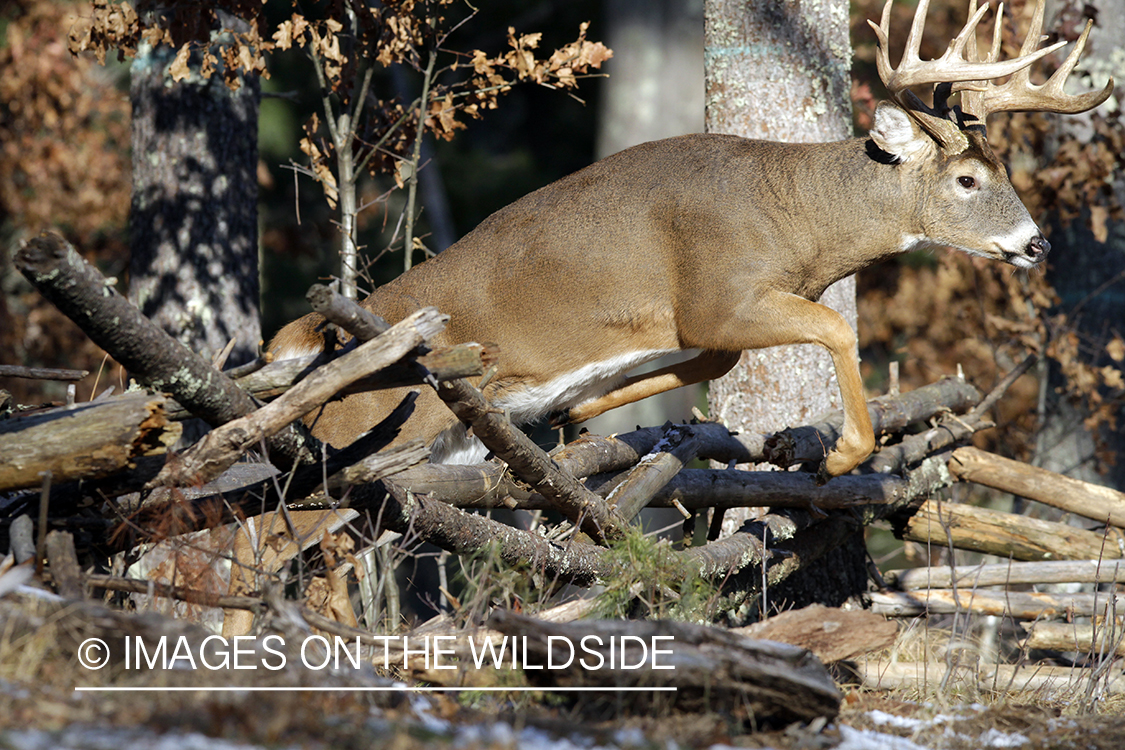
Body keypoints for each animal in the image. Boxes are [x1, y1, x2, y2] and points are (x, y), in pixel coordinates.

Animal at [226, 0, 1107, 634]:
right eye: (966, 179)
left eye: (1001, 168)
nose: (1033, 243)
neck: (796, 222)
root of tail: (307, 339)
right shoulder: (718, 295)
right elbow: (827, 330)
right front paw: (836, 455)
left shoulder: (698, 322)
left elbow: (698, 372)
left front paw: (582, 414)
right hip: (359, 432)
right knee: (241, 536)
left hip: (403, 465)